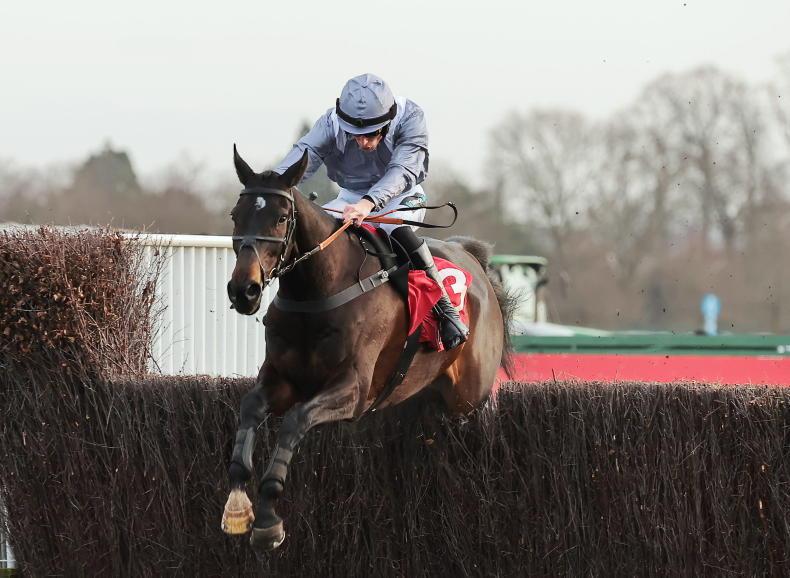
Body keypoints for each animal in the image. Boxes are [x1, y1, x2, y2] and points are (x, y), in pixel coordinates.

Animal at [222, 146, 514, 553]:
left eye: (281, 218)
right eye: (237, 215)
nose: (244, 290)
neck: (319, 290)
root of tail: (474, 258)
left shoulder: (354, 389)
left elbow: (295, 420)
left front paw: (267, 519)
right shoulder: (281, 379)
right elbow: (250, 407)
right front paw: (237, 505)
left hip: (470, 396)